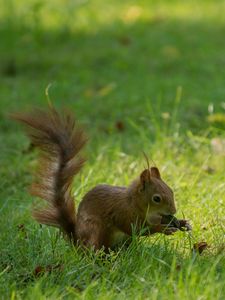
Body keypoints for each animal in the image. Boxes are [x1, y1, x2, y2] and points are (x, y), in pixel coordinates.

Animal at [12, 105, 191, 251]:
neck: (136, 203)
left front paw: (182, 222)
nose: (173, 211)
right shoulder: (123, 213)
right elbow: (138, 229)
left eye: (171, 191)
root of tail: (78, 242)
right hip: (97, 231)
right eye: (156, 198)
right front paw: (163, 229)